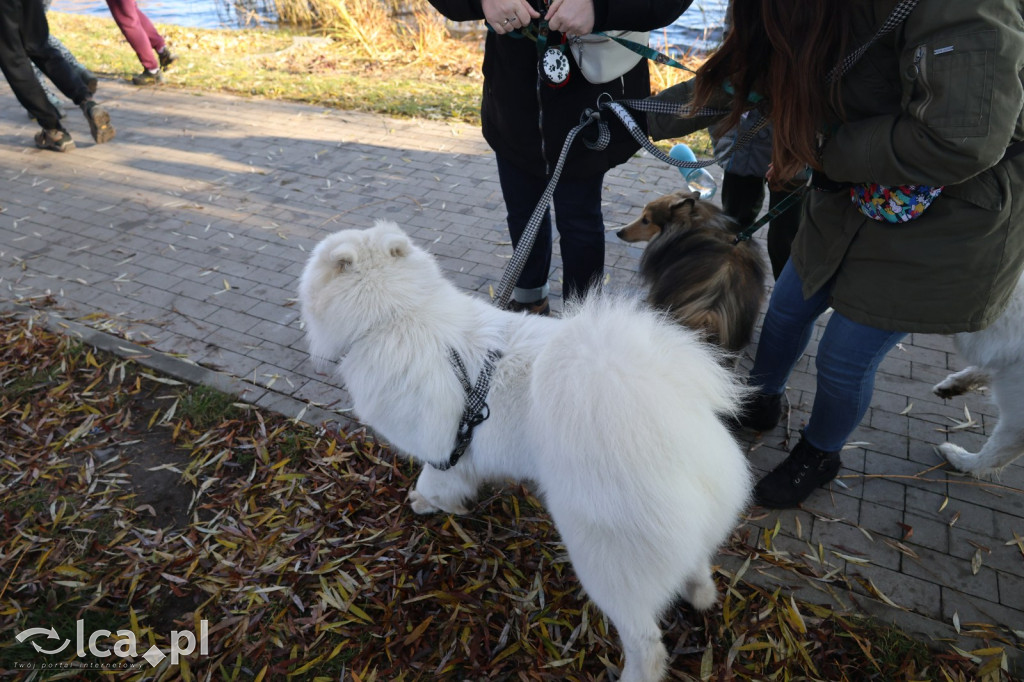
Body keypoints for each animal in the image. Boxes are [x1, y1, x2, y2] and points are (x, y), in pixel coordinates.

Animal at [299, 220, 753, 675]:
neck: (396, 315)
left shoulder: (442, 450)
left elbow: (433, 481)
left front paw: (426, 503)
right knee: (696, 563)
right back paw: (701, 596)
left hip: (603, 558)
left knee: (646, 640)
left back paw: (636, 673)